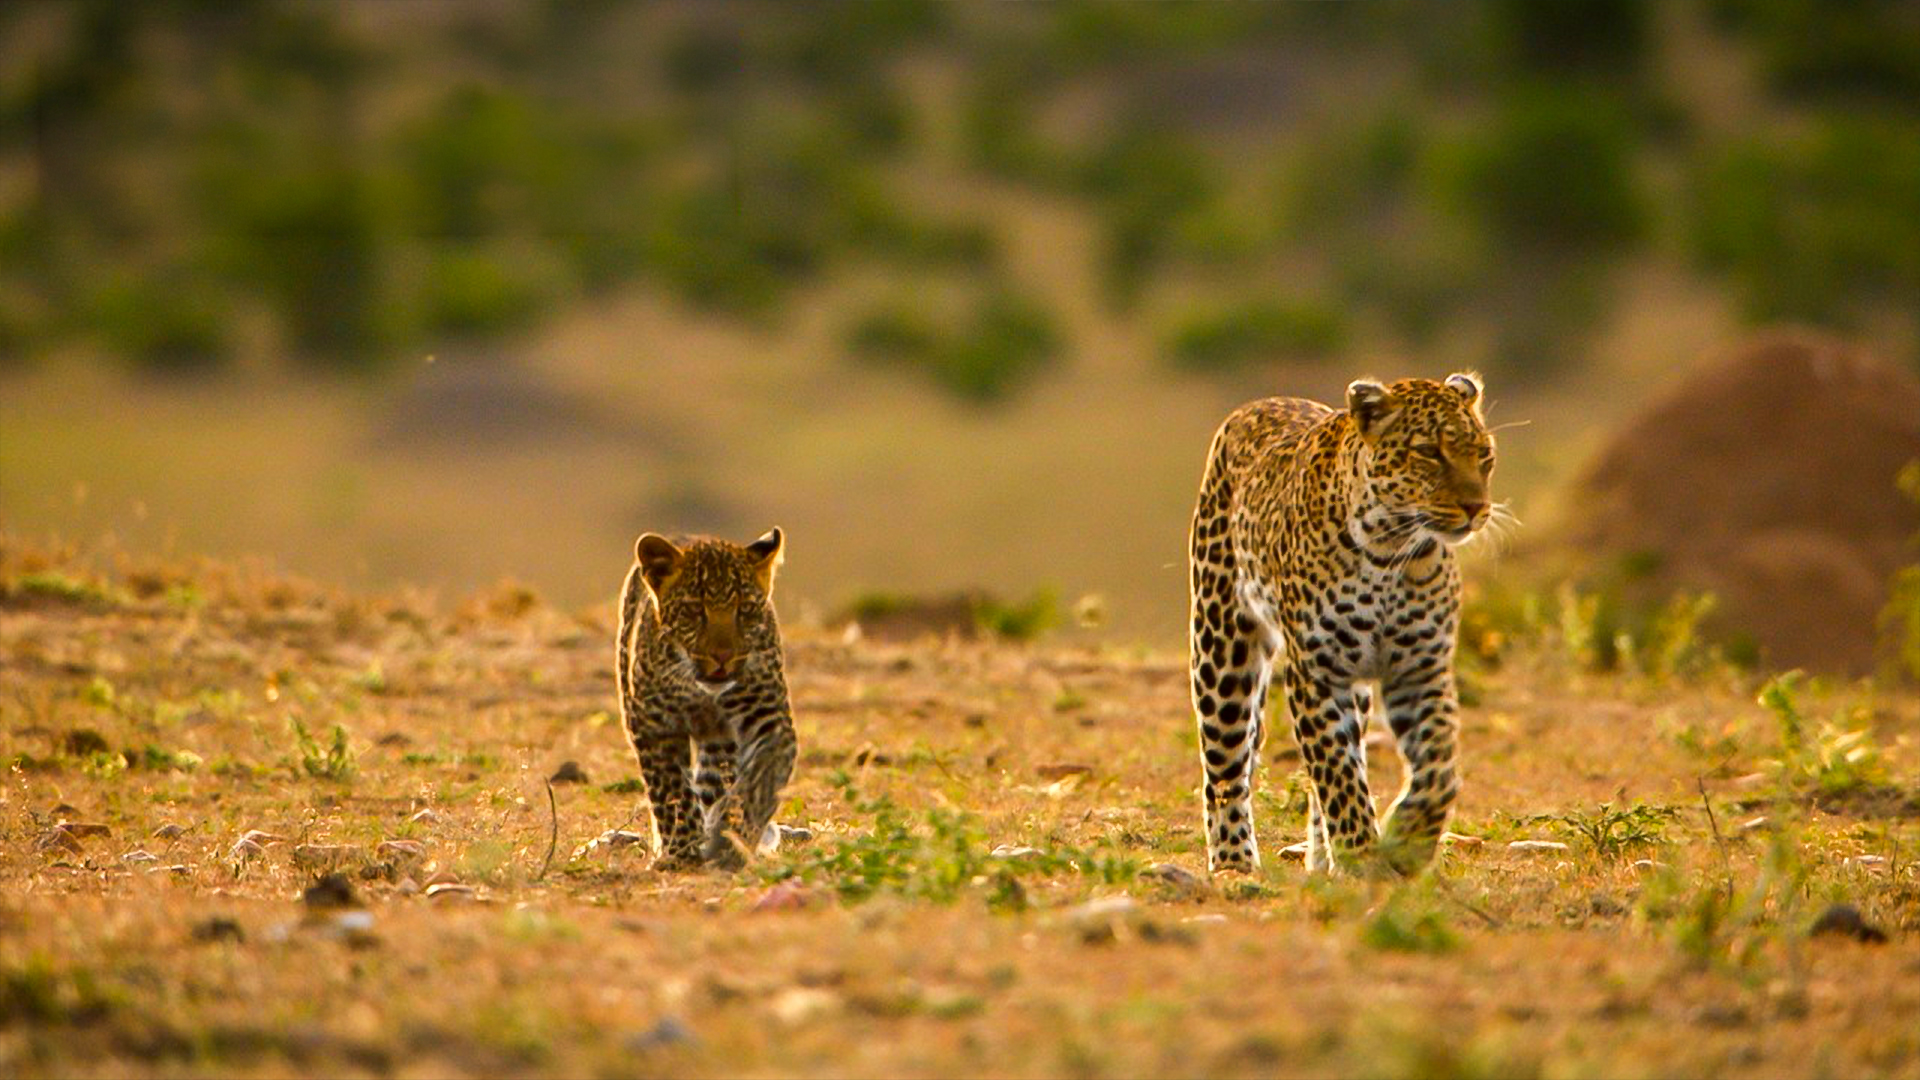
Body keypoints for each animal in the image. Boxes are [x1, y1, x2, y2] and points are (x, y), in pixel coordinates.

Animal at [616, 527, 797, 871]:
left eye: (746, 610)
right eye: (694, 611)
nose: (722, 657)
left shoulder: (770, 721)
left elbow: (758, 784)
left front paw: (729, 842)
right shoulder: (651, 723)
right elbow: (671, 790)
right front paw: (681, 850)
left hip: (721, 744)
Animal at [1187, 372, 1500, 877]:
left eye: (1484, 455)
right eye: (1429, 452)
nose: (1476, 507)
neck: (1392, 551)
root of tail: (1259, 402)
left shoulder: (1420, 669)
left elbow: (1439, 768)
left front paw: (1407, 840)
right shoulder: (1318, 673)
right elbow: (1338, 775)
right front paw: (1362, 857)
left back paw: (1320, 861)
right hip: (1222, 647)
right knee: (1226, 768)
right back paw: (1235, 863)